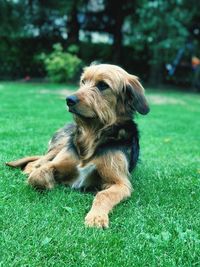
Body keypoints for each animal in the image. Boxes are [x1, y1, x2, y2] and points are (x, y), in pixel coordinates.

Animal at [6, 63, 149, 229]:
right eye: (83, 81)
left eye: (103, 85)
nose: (69, 100)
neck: (92, 134)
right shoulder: (57, 162)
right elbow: (37, 176)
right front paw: (49, 182)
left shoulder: (121, 183)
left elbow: (103, 194)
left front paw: (96, 216)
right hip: (59, 145)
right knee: (37, 162)